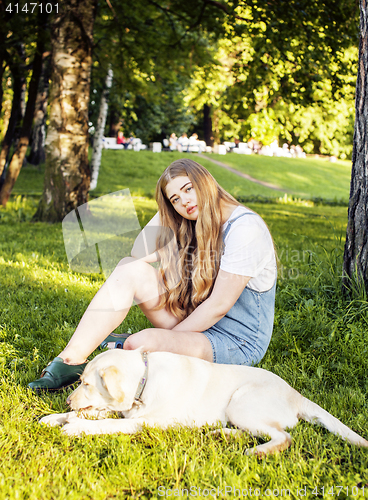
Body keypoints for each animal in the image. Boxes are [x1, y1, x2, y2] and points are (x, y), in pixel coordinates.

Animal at [40, 346, 368, 456]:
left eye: (86, 384)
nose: (67, 401)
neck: (146, 379)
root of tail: (297, 394)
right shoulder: (126, 412)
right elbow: (98, 415)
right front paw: (55, 417)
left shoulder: (144, 423)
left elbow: (107, 424)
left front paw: (74, 427)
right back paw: (223, 435)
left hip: (240, 402)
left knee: (283, 437)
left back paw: (258, 452)